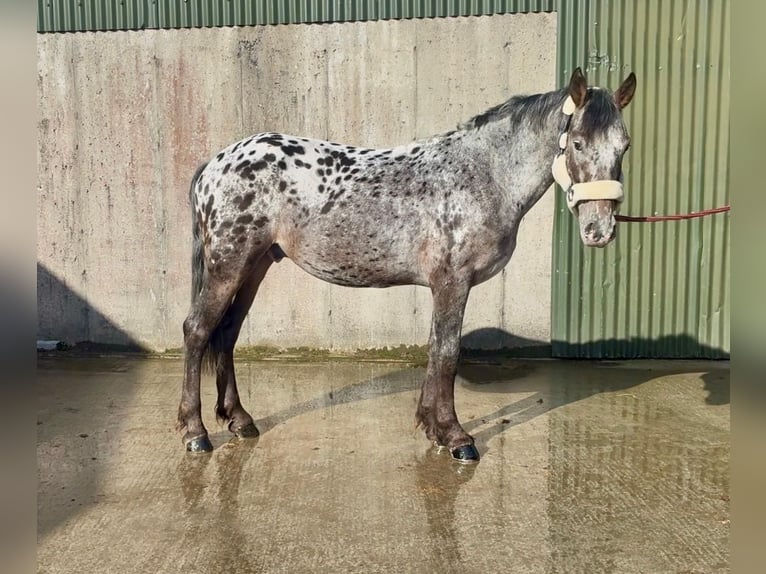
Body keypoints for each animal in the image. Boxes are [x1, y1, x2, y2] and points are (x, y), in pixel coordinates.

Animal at [177, 67, 636, 463]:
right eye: (577, 143)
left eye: (625, 145)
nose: (599, 230)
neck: (484, 174)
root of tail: (214, 164)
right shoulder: (453, 282)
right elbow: (448, 353)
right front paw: (457, 437)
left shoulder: (443, 286)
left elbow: (435, 349)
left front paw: (433, 428)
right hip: (228, 264)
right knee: (198, 330)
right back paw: (195, 433)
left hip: (255, 265)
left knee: (227, 333)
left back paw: (240, 420)